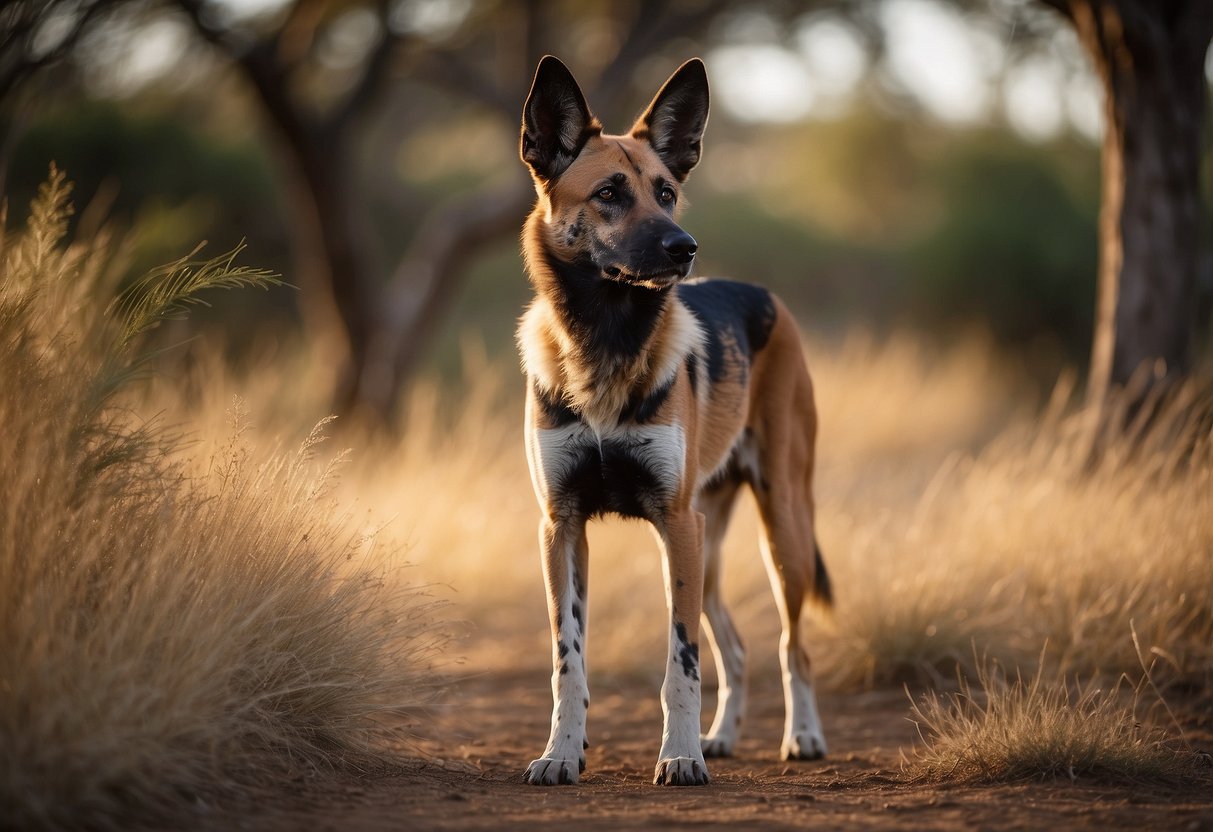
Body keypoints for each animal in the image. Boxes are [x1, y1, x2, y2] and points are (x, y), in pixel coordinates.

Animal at [511, 55, 834, 785]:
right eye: (609, 193)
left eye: (665, 193)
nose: (685, 247)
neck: (605, 342)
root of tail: (764, 295)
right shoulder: (562, 530)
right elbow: (567, 664)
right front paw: (561, 754)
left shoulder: (674, 527)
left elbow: (680, 666)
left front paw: (680, 756)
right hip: (706, 550)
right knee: (737, 648)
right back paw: (725, 735)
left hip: (778, 535)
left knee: (792, 646)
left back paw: (801, 736)